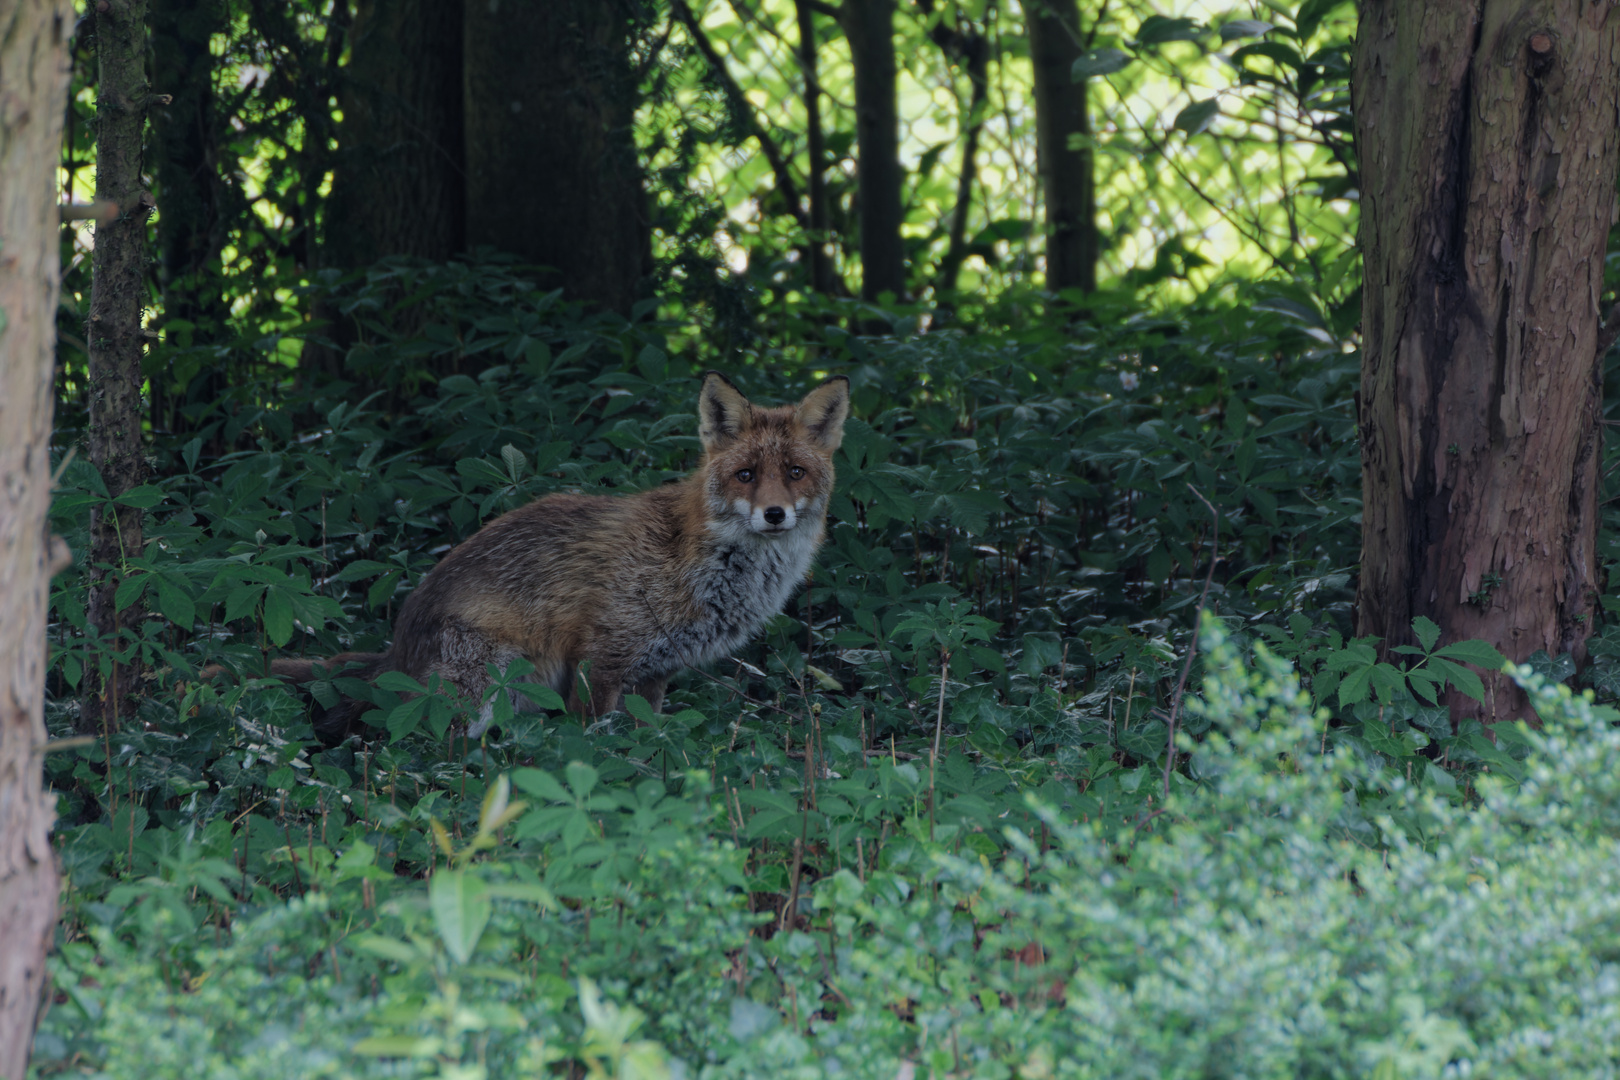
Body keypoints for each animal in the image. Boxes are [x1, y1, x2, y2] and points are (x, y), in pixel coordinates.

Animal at [268, 374, 848, 744]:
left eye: (795, 472)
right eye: (746, 475)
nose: (774, 514)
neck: (697, 560)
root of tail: (396, 646)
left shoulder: (655, 672)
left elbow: (650, 734)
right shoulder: (601, 658)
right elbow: (589, 738)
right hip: (485, 687)